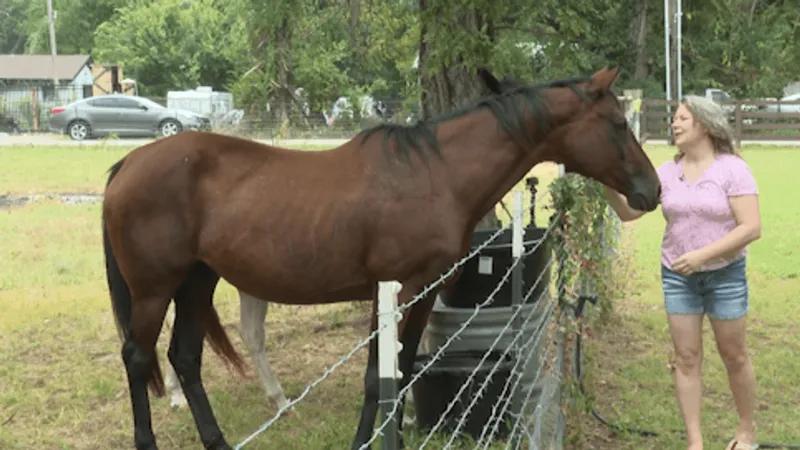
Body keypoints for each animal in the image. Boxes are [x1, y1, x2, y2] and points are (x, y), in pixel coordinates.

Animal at [101, 65, 661, 450]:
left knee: (184, 359)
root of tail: (130, 162)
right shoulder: (393, 290)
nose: (651, 191)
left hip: (197, 281)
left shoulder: (426, 291)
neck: (435, 175)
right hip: (155, 288)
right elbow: (378, 378)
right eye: (616, 122)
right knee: (138, 358)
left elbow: (405, 370)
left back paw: (216, 441)